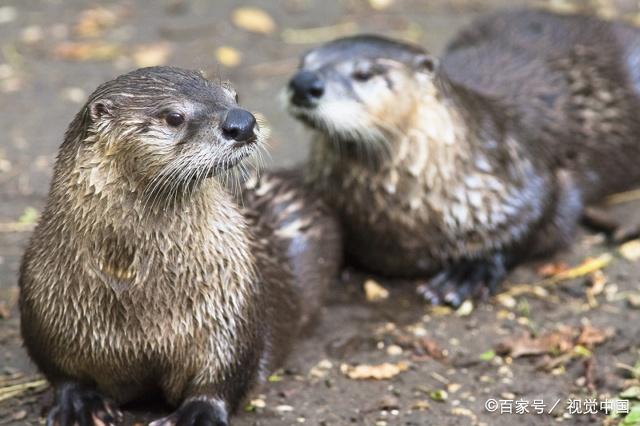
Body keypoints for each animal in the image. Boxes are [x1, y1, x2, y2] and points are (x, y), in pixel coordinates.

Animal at [18, 67, 340, 426]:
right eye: (174, 117)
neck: (132, 285)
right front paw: (80, 403)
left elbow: (225, 374)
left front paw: (198, 413)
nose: (242, 123)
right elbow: (61, 370)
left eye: (234, 96)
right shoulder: (45, 306)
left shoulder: (233, 304)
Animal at [288, 9, 640, 306]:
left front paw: (469, 272)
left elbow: (544, 218)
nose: (303, 84)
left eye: (364, 73)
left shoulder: (529, 178)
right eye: (303, 62)